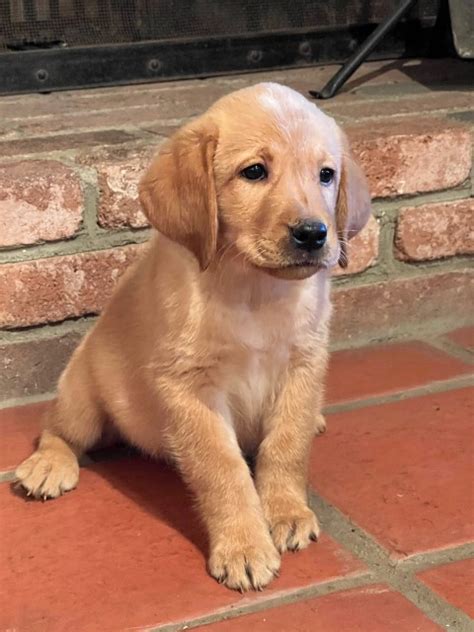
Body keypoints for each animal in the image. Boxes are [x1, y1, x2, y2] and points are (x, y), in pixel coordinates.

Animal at [15, 82, 370, 592]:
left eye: (326, 174)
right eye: (254, 172)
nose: (314, 233)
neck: (254, 289)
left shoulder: (304, 366)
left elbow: (286, 446)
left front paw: (286, 511)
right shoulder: (190, 388)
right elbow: (223, 469)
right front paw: (243, 546)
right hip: (81, 393)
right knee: (58, 431)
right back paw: (49, 464)